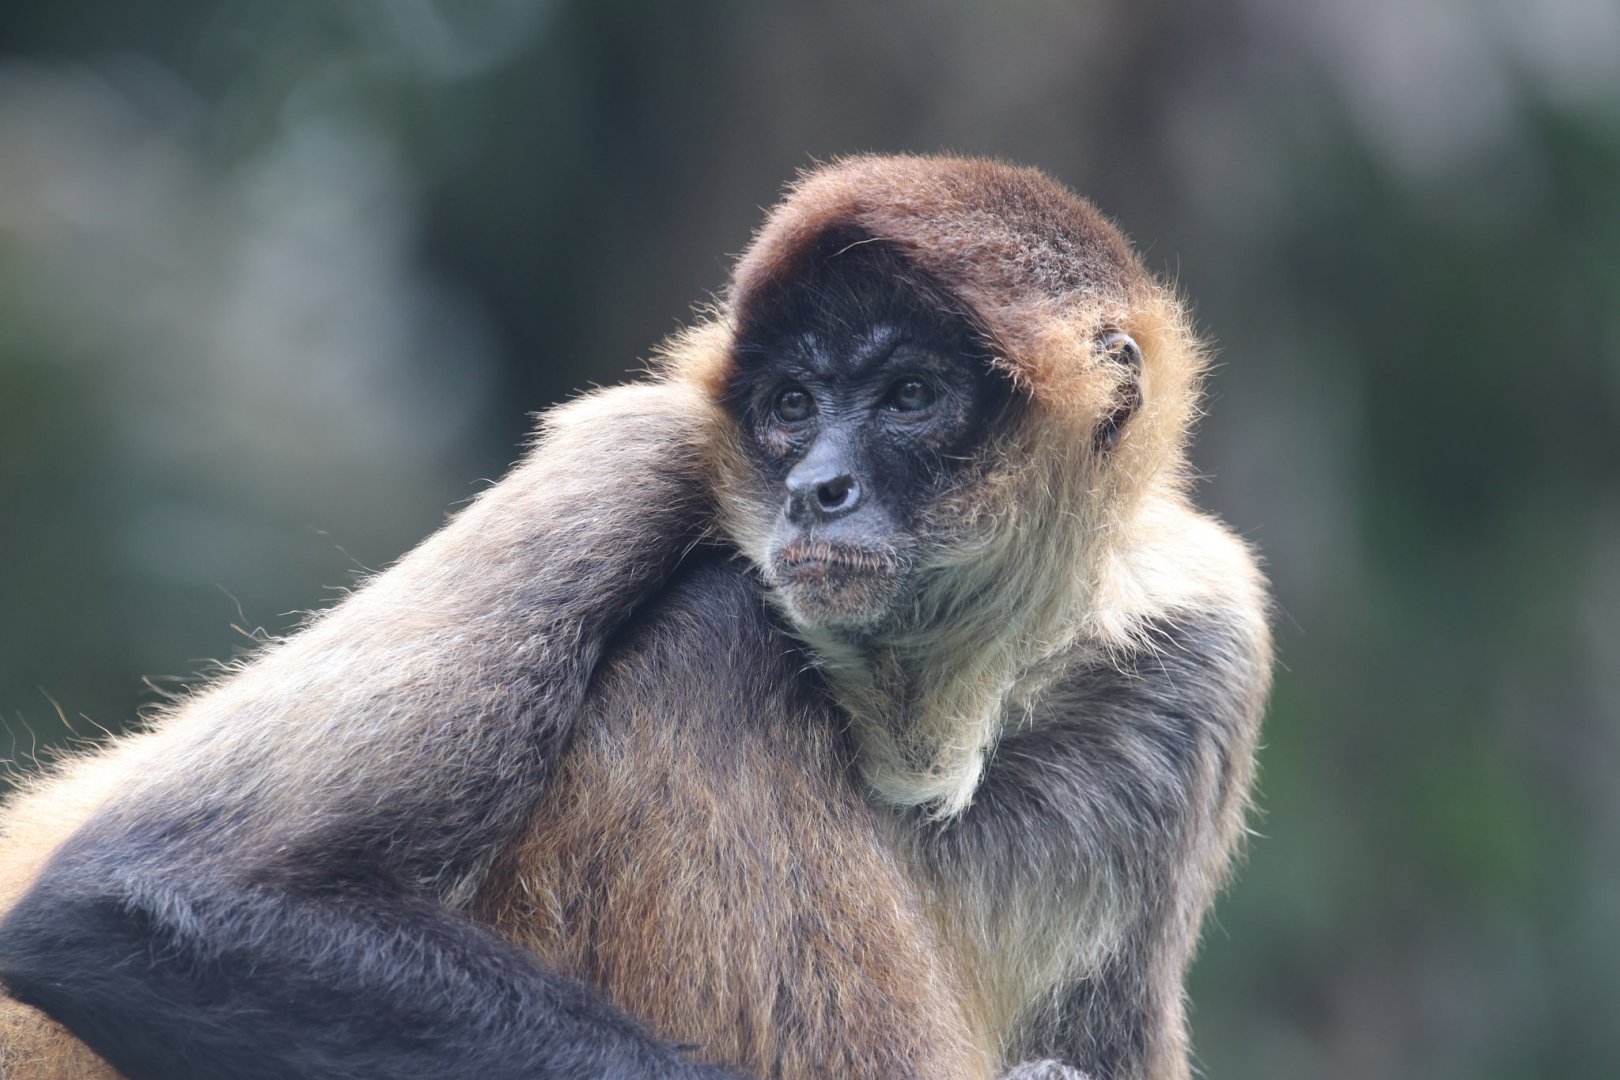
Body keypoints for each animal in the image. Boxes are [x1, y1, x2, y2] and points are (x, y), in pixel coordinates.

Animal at [0, 155, 1271, 1080]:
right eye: (791, 406)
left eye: (910, 396)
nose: (817, 488)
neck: (923, 716)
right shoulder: (644, 449)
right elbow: (134, 903)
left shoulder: (1206, 642)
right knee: (715, 622)